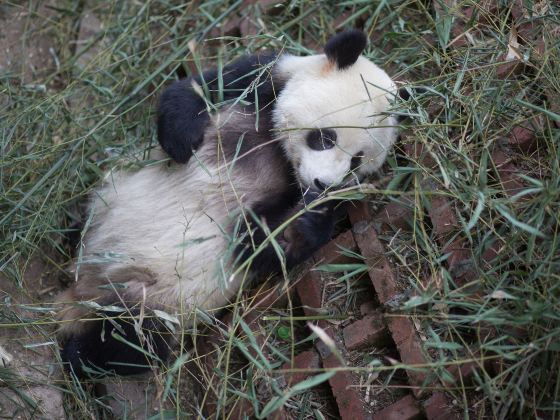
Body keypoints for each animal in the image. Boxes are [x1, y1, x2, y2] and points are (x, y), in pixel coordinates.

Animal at [58, 30, 402, 378]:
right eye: (325, 137)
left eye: (356, 161)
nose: (323, 184)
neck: (280, 152)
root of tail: (85, 289)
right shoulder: (264, 80)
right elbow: (197, 89)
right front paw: (183, 143)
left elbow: (263, 245)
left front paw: (308, 218)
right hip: (106, 198)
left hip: (159, 297)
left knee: (131, 340)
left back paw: (78, 354)